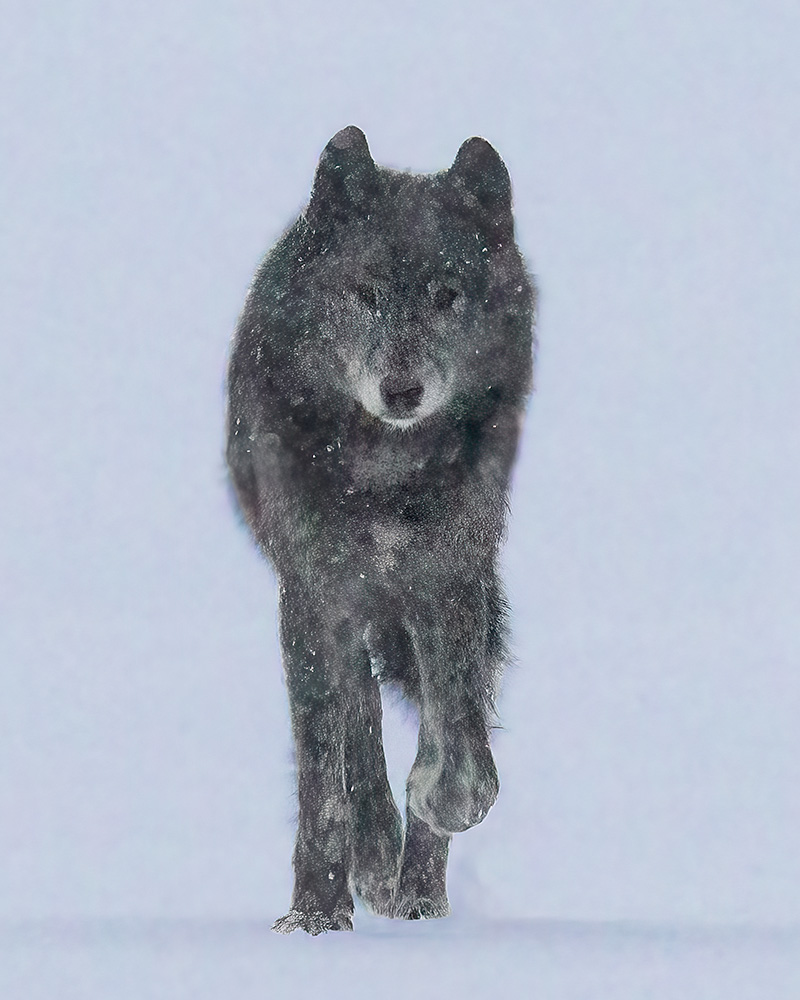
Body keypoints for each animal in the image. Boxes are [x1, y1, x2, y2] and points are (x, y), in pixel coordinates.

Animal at [225, 127, 536, 936]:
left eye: (445, 295)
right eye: (365, 295)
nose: (402, 391)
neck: (385, 475)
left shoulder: (449, 582)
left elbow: (459, 733)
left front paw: (441, 803)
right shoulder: (314, 599)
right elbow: (324, 780)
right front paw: (316, 910)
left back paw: (420, 895)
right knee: (357, 721)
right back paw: (371, 864)